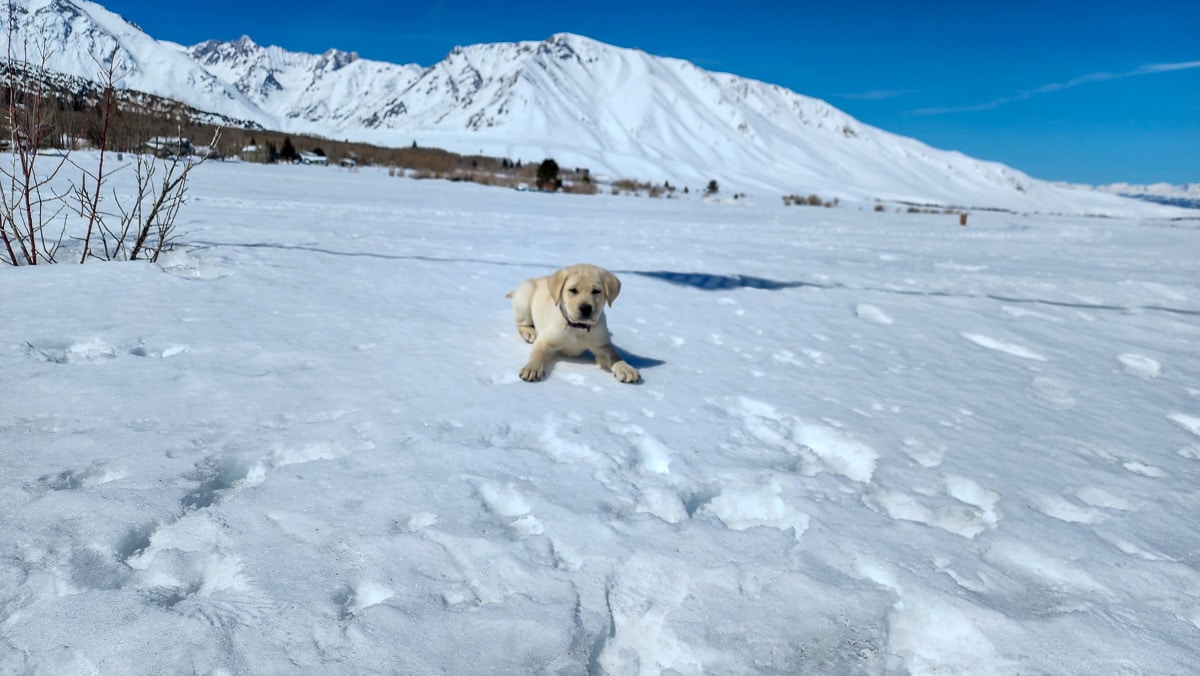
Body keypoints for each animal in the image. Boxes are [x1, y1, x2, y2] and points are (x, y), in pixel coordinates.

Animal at [504, 262, 638, 384]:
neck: (578, 327)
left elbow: (615, 355)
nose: (586, 308)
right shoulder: (545, 340)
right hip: (526, 293)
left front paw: (626, 368)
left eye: (596, 291)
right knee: (522, 323)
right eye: (573, 290)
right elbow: (537, 354)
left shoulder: (602, 345)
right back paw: (529, 332)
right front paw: (532, 368)